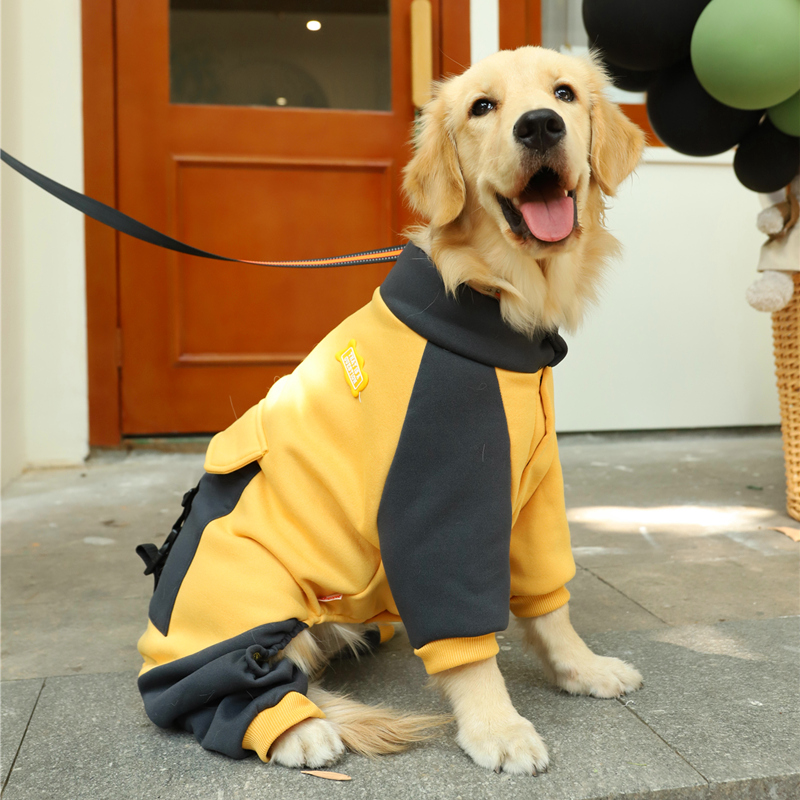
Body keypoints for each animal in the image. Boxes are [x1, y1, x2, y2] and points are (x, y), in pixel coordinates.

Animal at [139, 43, 644, 776]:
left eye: (565, 94)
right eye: (482, 107)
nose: (541, 127)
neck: (492, 302)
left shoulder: (536, 491)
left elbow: (550, 604)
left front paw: (583, 669)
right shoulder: (439, 499)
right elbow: (467, 640)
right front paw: (497, 728)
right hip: (247, 588)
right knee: (213, 688)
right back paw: (298, 728)